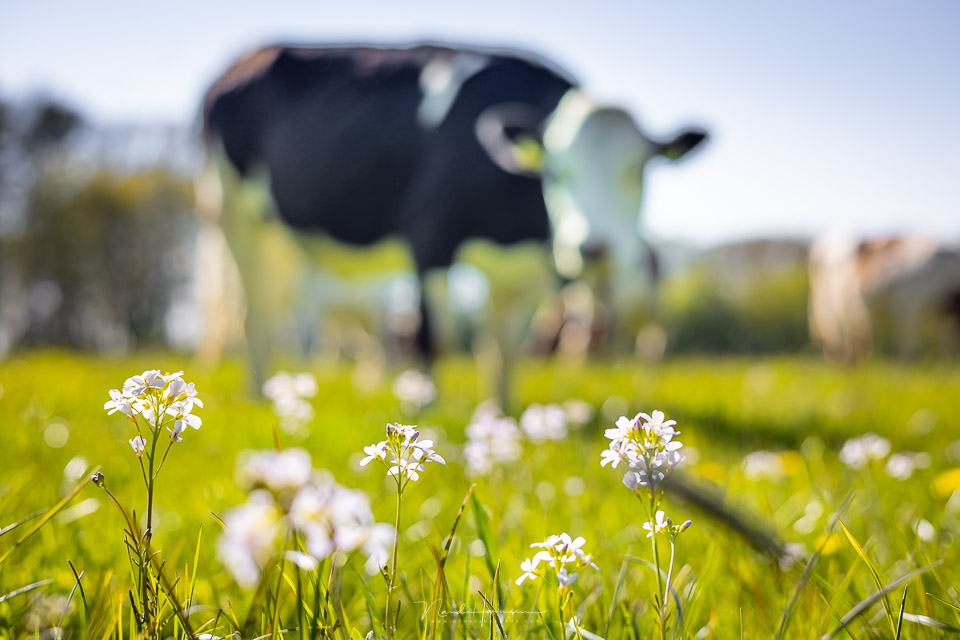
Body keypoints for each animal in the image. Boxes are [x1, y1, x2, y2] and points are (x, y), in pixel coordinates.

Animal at [198, 42, 707, 398]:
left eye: (639, 170)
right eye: (556, 170)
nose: (593, 249)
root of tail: (248, 58)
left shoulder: (521, 274)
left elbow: (503, 354)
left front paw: (503, 417)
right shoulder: (429, 238)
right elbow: (435, 340)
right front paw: (431, 419)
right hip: (236, 215)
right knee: (255, 316)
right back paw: (260, 402)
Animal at [808, 234, 960, 361]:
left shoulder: (946, 317)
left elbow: (947, 340)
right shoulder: (907, 303)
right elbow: (909, 342)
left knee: (854, 333)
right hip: (833, 302)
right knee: (839, 331)